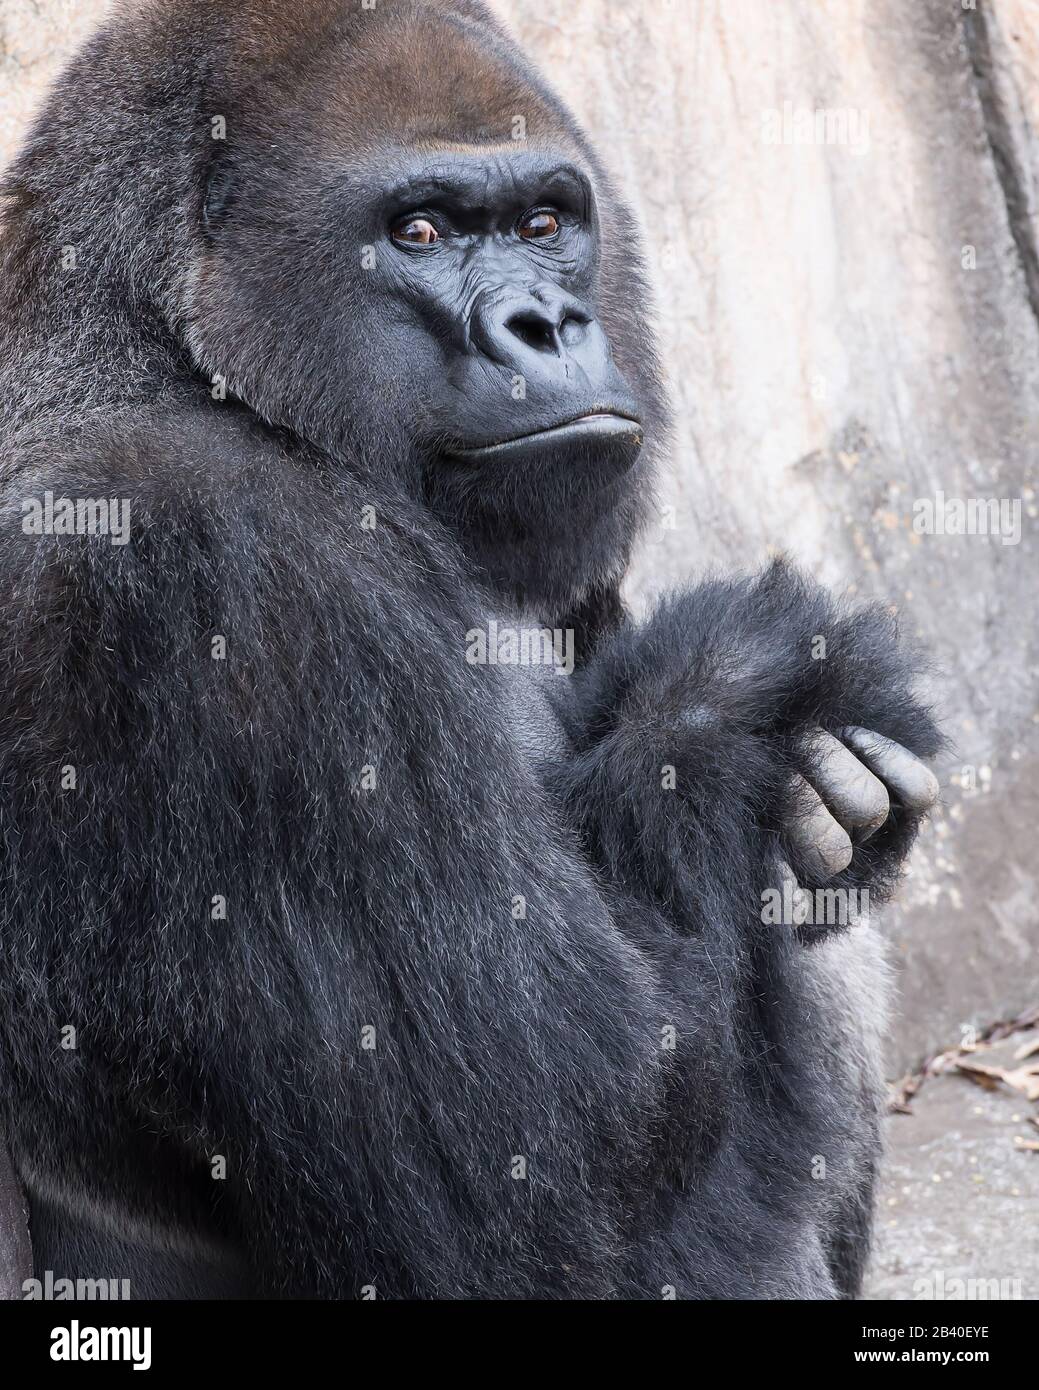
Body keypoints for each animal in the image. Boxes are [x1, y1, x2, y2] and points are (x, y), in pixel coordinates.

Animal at [0, 0, 940, 1301]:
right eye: (423, 231)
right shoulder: (215, 567)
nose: (546, 324)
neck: (163, 355)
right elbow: (556, 1153)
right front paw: (733, 690)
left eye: (545, 223)